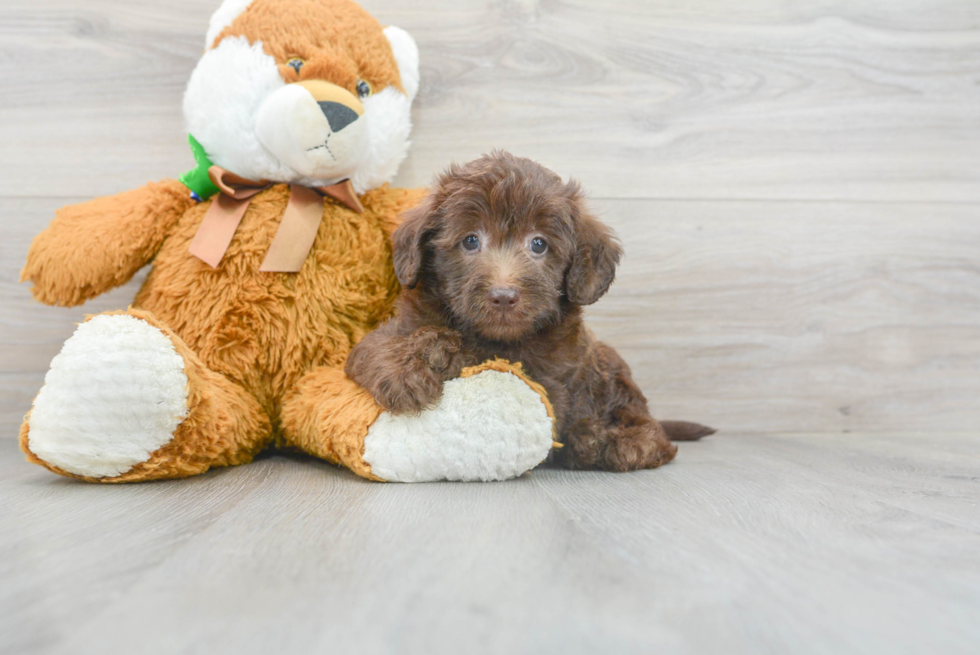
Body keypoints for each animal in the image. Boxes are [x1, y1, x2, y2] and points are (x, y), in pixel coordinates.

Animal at [348, 152, 716, 472]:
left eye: (538, 244)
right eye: (470, 240)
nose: (503, 296)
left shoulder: (548, 382)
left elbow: (495, 362)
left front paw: (444, 352)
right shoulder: (399, 326)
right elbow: (373, 349)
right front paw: (407, 369)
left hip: (612, 374)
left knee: (651, 430)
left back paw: (609, 440)